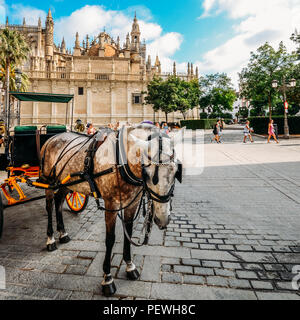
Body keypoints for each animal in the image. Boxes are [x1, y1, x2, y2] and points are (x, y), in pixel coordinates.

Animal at [38, 124, 182, 296]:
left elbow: (128, 233)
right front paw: (107, 278)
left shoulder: (132, 203)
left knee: (59, 201)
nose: (163, 219)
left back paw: (63, 233)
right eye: (147, 174)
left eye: (176, 172)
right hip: (48, 181)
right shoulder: (111, 205)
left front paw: (130, 266)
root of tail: (53, 137)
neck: (121, 163)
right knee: (49, 206)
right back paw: (50, 239)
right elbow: (110, 239)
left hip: (68, 183)